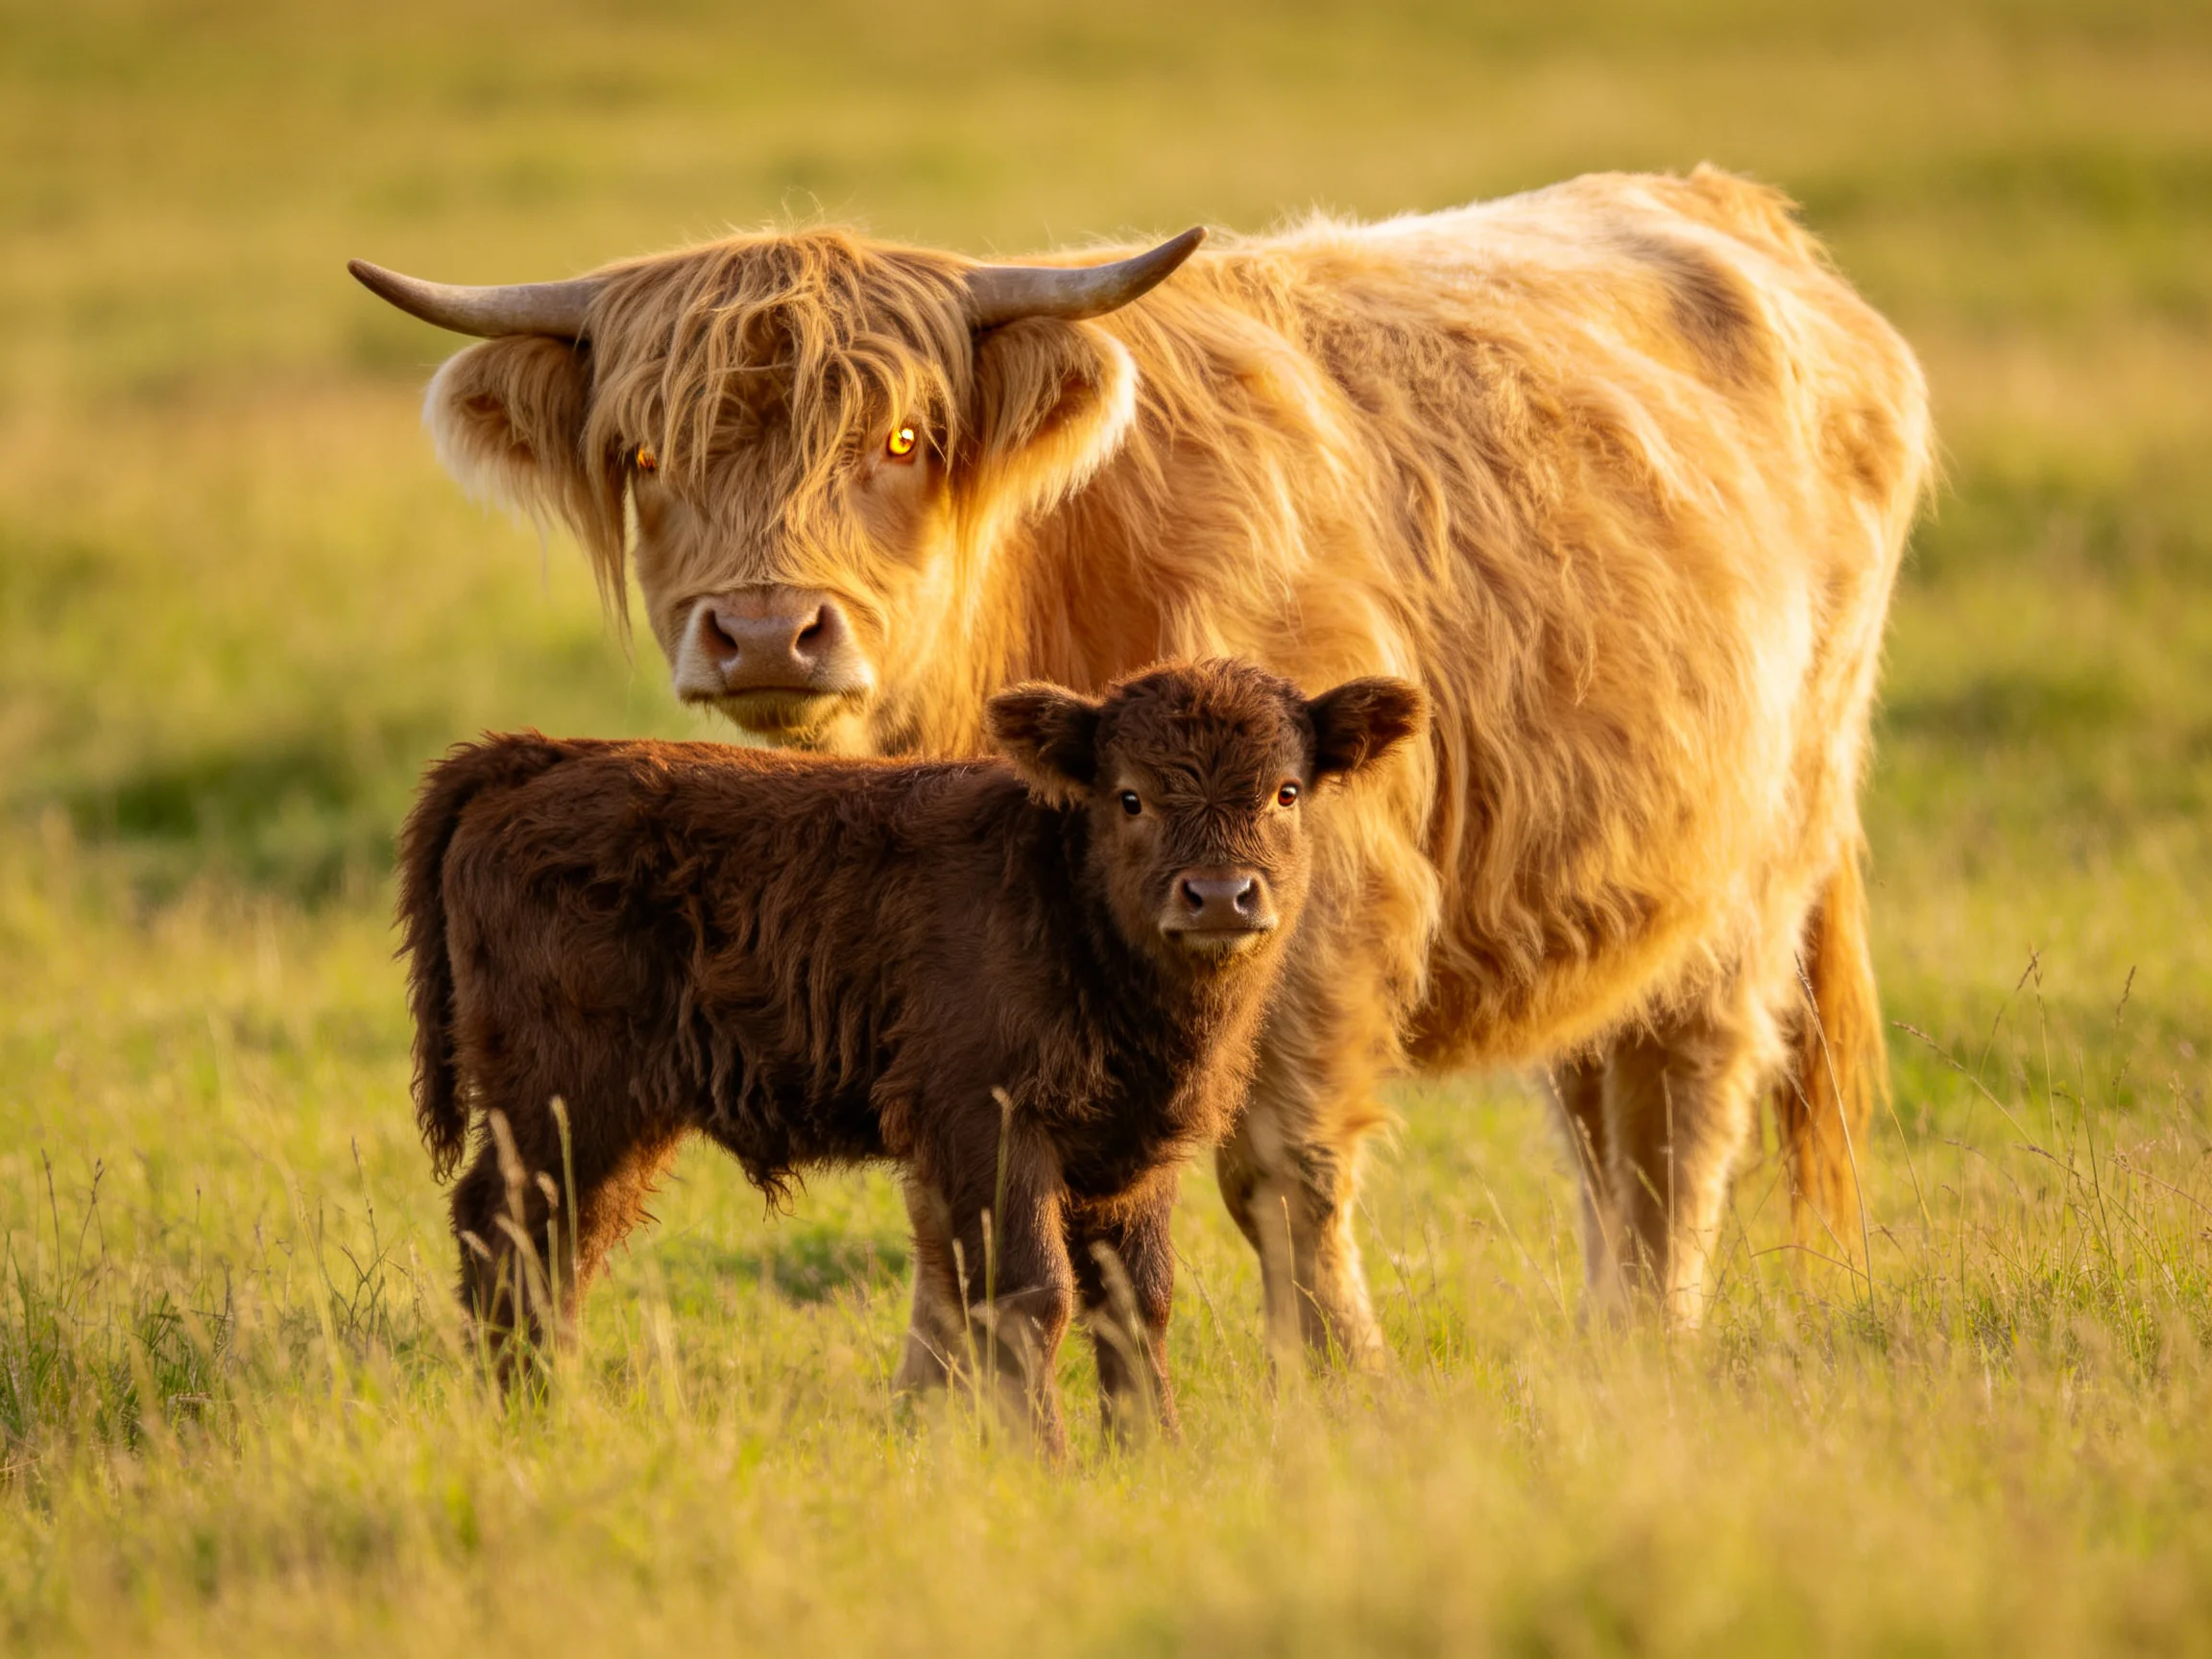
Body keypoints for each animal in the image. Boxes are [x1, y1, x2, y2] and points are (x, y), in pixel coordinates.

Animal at [356, 164, 1933, 1353]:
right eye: (644, 457)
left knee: (1682, 1107)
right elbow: (960, 1213)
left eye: (906, 438)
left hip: (1762, 862)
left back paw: (1650, 1345)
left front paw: (1335, 1391)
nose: (762, 633)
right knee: (1605, 1112)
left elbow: (1283, 1171)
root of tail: (1728, 210)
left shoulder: (1316, 901)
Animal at [396, 658, 1426, 1450]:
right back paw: (530, 1412)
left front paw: (1154, 1452)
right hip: (565, 1099)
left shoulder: (1129, 1151)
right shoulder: (987, 1126)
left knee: (564, 1240)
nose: (1219, 894)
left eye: (1285, 790)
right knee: (512, 1227)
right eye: (1129, 795)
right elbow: (1029, 1293)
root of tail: (541, 757)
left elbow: (1138, 1301)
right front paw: (1041, 1458)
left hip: (610, 1120)